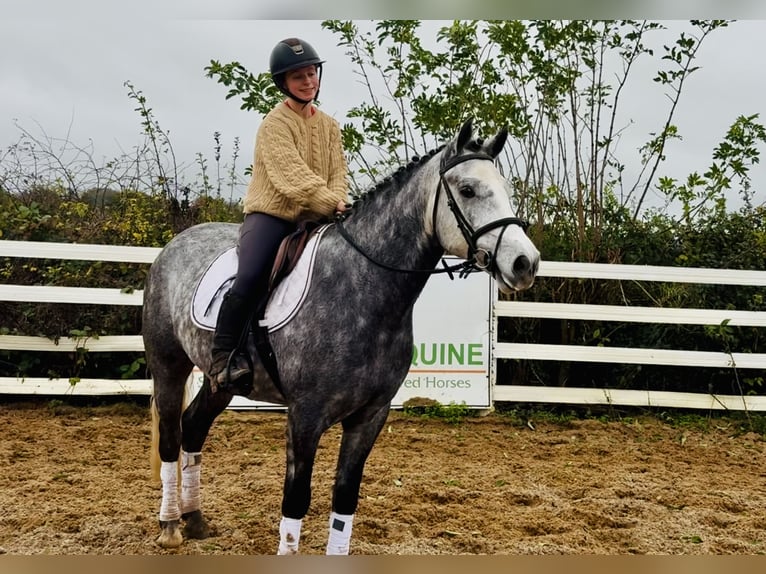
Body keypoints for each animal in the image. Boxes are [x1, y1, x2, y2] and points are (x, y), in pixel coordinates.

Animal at [142, 118, 540, 554]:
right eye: (467, 190)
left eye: (505, 188)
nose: (525, 263)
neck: (362, 287)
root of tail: (174, 245)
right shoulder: (305, 416)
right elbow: (296, 499)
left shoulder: (370, 416)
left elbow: (346, 496)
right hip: (169, 366)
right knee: (171, 437)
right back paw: (170, 525)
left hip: (220, 383)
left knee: (194, 428)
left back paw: (195, 519)